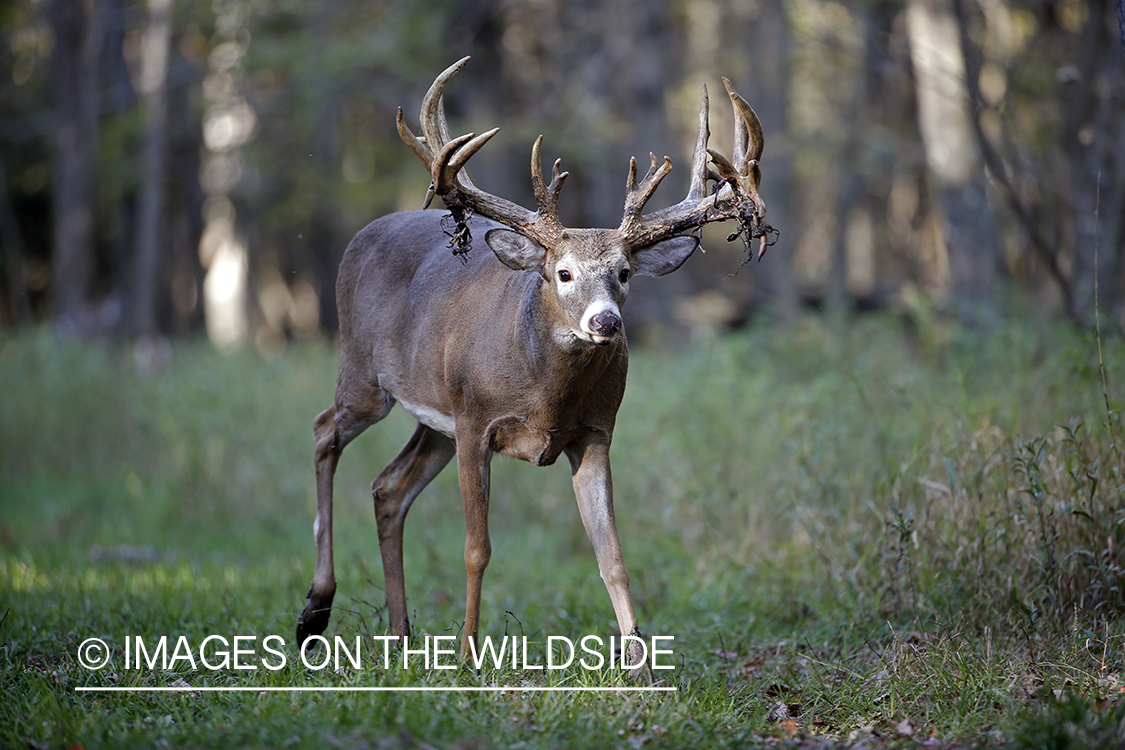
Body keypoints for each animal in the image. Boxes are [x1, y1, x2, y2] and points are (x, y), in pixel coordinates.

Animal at [297, 58, 774, 670]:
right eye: (563, 272)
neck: (546, 398)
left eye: (625, 272)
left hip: (435, 419)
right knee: (323, 431)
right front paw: (468, 657)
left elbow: (612, 555)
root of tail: (361, 236)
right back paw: (315, 612)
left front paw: (640, 665)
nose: (606, 323)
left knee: (387, 488)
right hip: (365, 376)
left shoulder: (594, 432)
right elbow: (477, 548)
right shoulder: (476, 423)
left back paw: (400, 635)